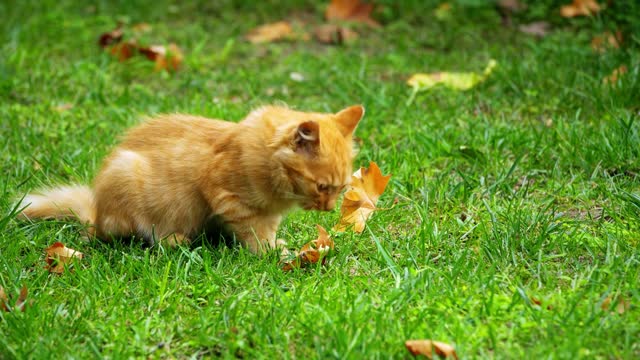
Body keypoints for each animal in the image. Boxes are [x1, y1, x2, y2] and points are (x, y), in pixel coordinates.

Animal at [18, 105, 364, 253]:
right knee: (135, 236)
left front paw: (274, 243)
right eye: (322, 186)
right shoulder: (229, 197)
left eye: (341, 189)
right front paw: (268, 253)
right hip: (129, 183)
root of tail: (96, 214)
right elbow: (255, 233)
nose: (328, 208)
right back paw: (174, 241)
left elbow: (268, 228)